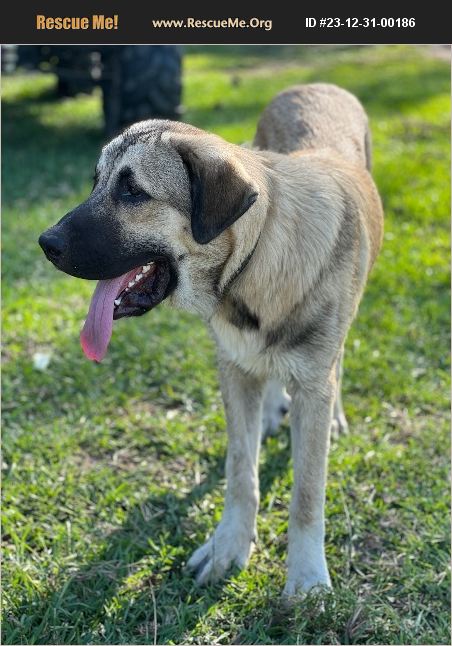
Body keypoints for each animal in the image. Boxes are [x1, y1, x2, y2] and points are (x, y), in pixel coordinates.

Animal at [40, 85, 384, 596]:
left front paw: (305, 576)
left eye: (132, 191)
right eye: (96, 182)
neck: (257, 258)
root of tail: (317, 86)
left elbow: (306, 493)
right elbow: (241, 472)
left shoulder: (311, 384)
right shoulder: (234, 371)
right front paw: (229, 547)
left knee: (334, 365)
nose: (46, 243)